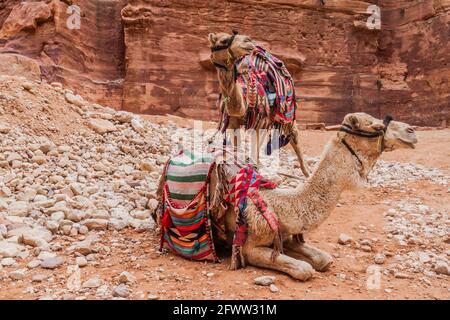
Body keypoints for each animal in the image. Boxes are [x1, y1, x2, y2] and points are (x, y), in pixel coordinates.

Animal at [207, 112, 418, 280]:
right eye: (377, 126)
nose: (411, 131)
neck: (280, 205)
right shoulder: (249, 246)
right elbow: (304, 269)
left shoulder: (286, 234)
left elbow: (324, 259)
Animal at [208, 31, 312, 178]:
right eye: (223, 40)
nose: (248, 40)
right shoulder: (233, 121)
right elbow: (236, 147)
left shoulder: (258, 119)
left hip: (286, 114)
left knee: (294, 134)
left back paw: (307, 173)